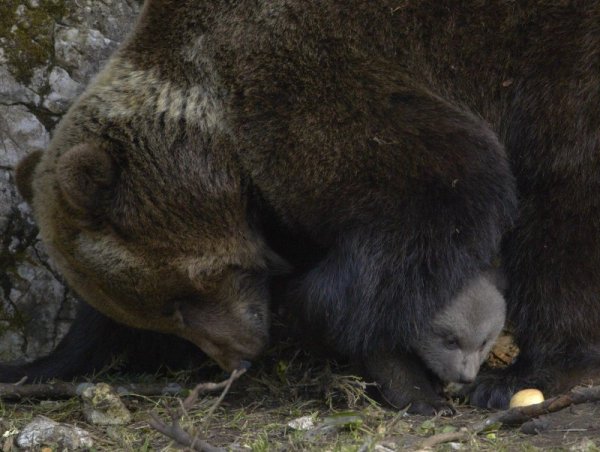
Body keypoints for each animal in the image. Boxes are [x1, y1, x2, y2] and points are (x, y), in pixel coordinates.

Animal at [4, 0, 600, 414]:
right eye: (164, 312)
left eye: (179, 300)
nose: (240, 355)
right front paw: (35, 365)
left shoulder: (308, 84)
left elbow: (450, 188)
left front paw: (312, 310)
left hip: (558, 66)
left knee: (564, 210)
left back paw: (525, 375)